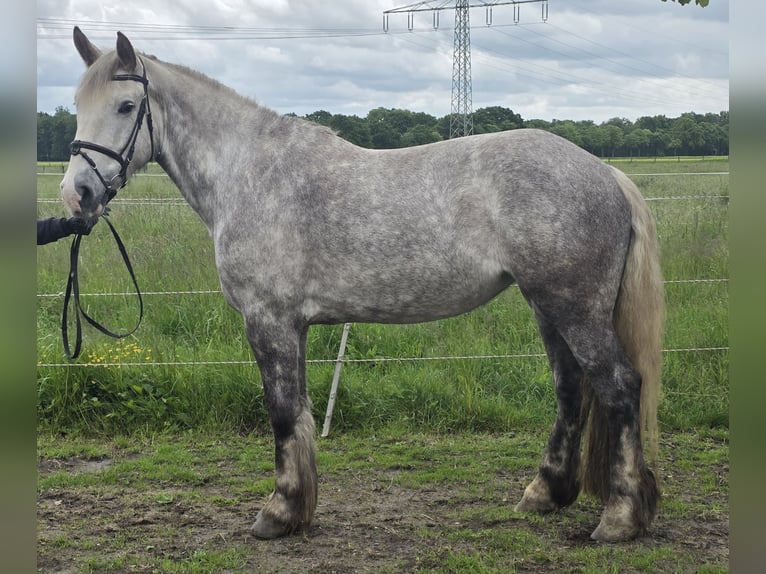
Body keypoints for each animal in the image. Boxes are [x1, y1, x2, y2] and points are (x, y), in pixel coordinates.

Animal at [60, 27, 664, 542]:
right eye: (78, 107)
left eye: (126, 106)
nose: (77, 195)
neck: (253, 175)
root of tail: (607, 173)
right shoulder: (294, 326)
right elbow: (299, 410)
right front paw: (297, 508)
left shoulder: (268, 320)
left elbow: (282, 413)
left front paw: (278, 513)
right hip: (547, 305)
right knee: (570, 389)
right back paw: (545, 493)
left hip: (574, 308)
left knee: (618, 387)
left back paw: (619, 518)